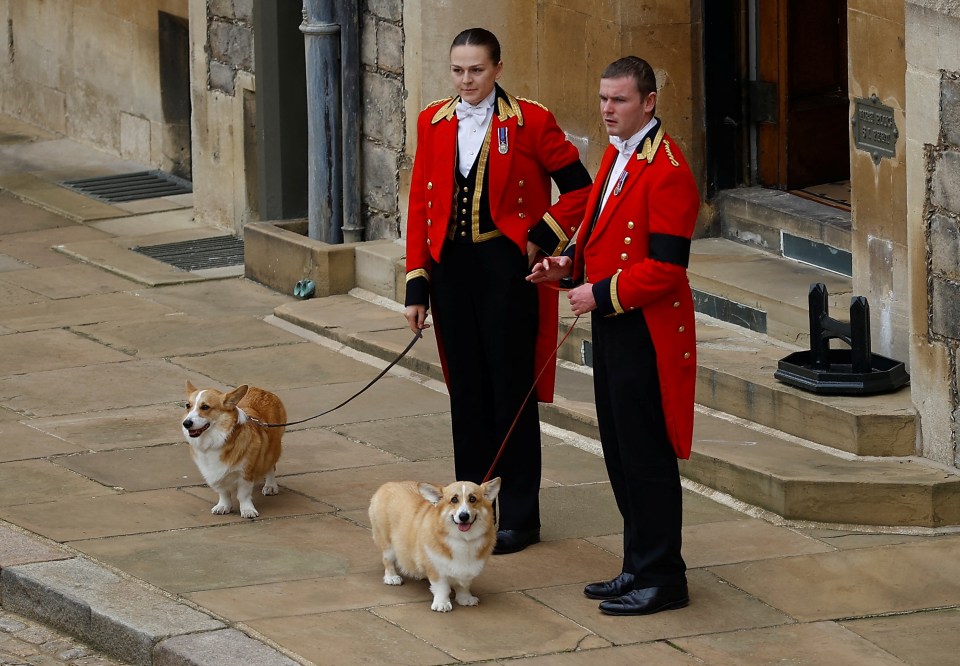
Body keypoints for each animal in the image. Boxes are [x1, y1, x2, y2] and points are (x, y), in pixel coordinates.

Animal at [180, 378, 284, 520]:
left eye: (205, 407)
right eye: (187, 405)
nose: (186, 423)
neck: (218, 439)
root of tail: (262, 390)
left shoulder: (245, 473)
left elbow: (243, 495)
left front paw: (247, 510)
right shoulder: (214, 474)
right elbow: (223, 492)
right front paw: (223, 506)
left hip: (272, 449)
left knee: (271, 466)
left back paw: (270, 486)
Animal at [368, 478, 502, 612]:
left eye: (473, 499)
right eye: (454, 499)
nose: (463, 516)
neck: (464, 539)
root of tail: (388, 484)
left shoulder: (468, 569)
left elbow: (464, 585)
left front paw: (466, 598)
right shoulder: (436, 567)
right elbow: (442, 587)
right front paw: (442, 604)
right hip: (387, 544)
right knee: (387, 560)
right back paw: (392, 577)